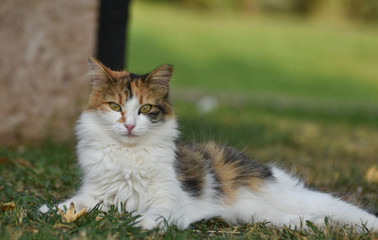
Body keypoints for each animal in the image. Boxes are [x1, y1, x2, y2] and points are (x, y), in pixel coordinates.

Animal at [39, 57, 376, 232]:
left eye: (145, 109)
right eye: (115, 107)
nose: (130, 125)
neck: (128, 155)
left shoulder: (168, 200)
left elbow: (155, 213)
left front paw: (140, 223)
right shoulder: (96, 193)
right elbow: (74, 203)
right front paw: (50, 210)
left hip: (294, 197)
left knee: (346, 209)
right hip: (259, 214)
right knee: (305, 219)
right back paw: (312, 225)